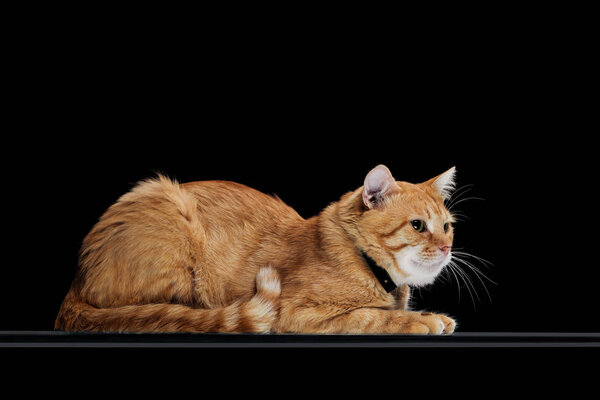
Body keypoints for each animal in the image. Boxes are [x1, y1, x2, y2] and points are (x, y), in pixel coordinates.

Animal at [57, 165, 460, 334]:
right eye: (417, 226)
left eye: (447, 226)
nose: (445, 249)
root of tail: (75, 281)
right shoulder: (297, 313)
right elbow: (371, 316)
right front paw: (423, 320)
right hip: (172, 209)